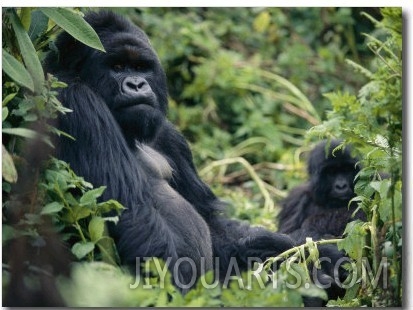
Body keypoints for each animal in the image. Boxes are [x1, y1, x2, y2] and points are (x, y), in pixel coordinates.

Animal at [44, 10, 292, 290]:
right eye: (116, 67)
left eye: (141, 68)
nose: (137, 85)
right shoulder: (77, 101)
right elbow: (133, 215)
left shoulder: (170, 136)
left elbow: (210, 221)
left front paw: (277, 247)